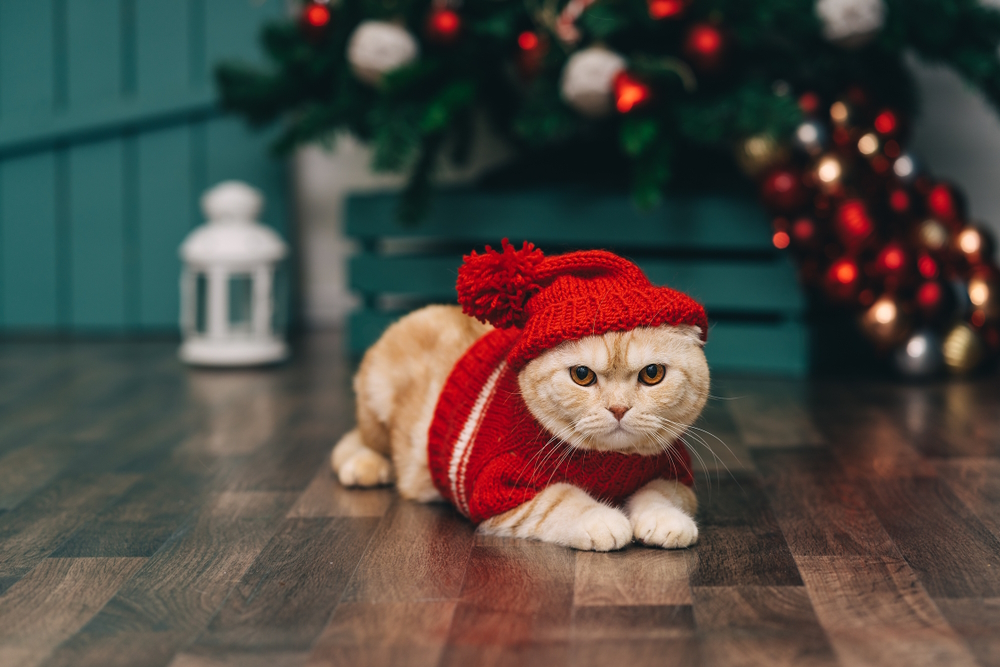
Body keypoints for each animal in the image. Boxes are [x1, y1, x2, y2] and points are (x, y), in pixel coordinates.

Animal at [332, 243, 708, 552]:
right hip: (376, 411)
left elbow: (661, 493)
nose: (619, 408)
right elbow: (562, 500)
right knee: (351, 442)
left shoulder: (676, 473)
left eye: (652, 374)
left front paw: (665, 518)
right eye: (582, 375)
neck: (609, 462)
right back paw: (365, 465)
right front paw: (602, 519)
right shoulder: (501, 491)